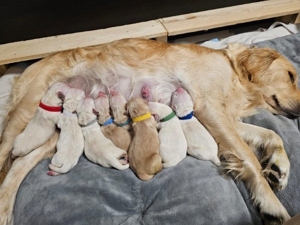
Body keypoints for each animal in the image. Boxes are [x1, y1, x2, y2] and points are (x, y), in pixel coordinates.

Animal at [0, 37, 298, 224]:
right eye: (291, 76)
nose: (299, 112)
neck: (236, 74)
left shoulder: (222, 117)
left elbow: (273, 135)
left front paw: (279, 169)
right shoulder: (209, 107)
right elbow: (248, 156)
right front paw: (272, 204)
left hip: (56, 125)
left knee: (21, 163)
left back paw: (5, 207)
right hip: (27, 107)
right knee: (7, 152)